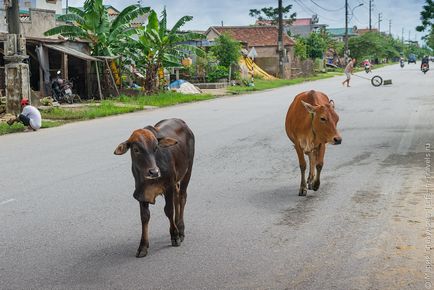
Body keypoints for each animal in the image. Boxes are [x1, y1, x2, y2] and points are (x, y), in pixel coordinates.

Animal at [115, 119, 197, 258]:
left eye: (155, 148)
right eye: (136, 149)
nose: (154, 172)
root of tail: (181, 121)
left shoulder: (168, 186)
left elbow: (168, 210)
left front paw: (175, 236)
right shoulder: (141, 192)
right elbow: (144, 217)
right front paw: (143, 246)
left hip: (188, 170)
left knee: (182, 197)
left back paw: (180, 229)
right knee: (177, 197)